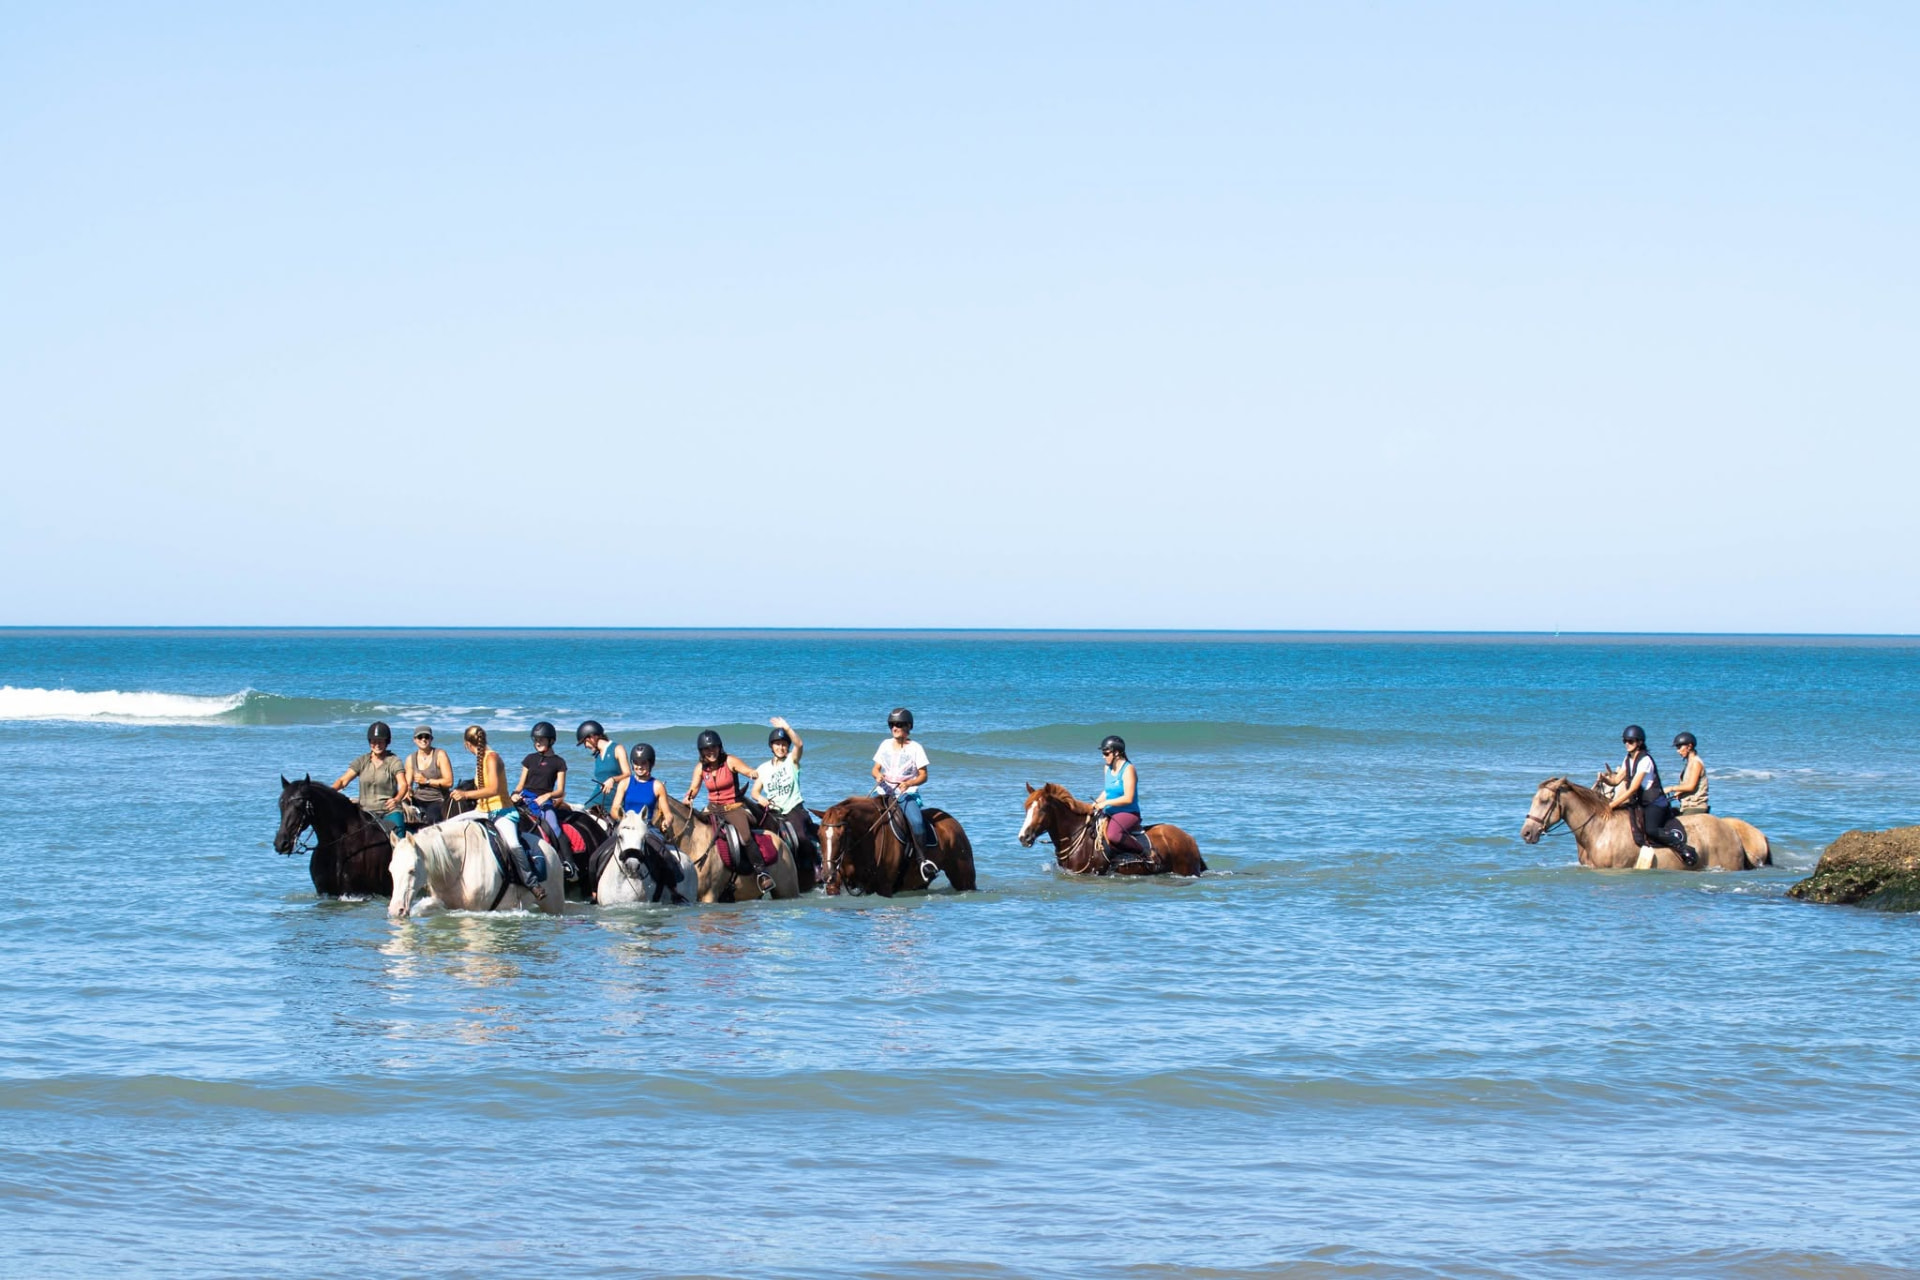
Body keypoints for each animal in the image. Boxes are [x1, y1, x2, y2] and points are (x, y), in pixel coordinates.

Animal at [387, 817, 564, 917]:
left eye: (412, 870)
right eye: (391, 871)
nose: (396, 909)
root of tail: (550, 849)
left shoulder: (477, 910)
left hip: (553, 904)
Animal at [815, 795, 977, 897]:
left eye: (842, 835)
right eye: (819, 835)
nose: (827, 875)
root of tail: (953, 822)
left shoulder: (883, 886)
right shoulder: (836, 884)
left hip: (964, 877)